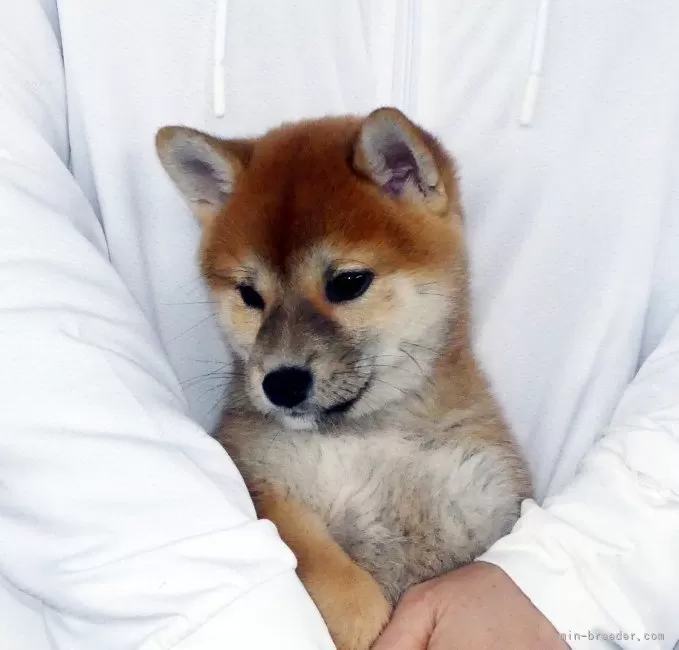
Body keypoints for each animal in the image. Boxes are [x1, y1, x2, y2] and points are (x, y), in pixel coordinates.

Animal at [158, 109, 532, 644]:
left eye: (348, 282)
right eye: (249, 295)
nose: (282, 383)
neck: (371, 439)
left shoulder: (488, 514)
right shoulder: (258, 480)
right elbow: (319, 562)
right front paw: (359, 617)